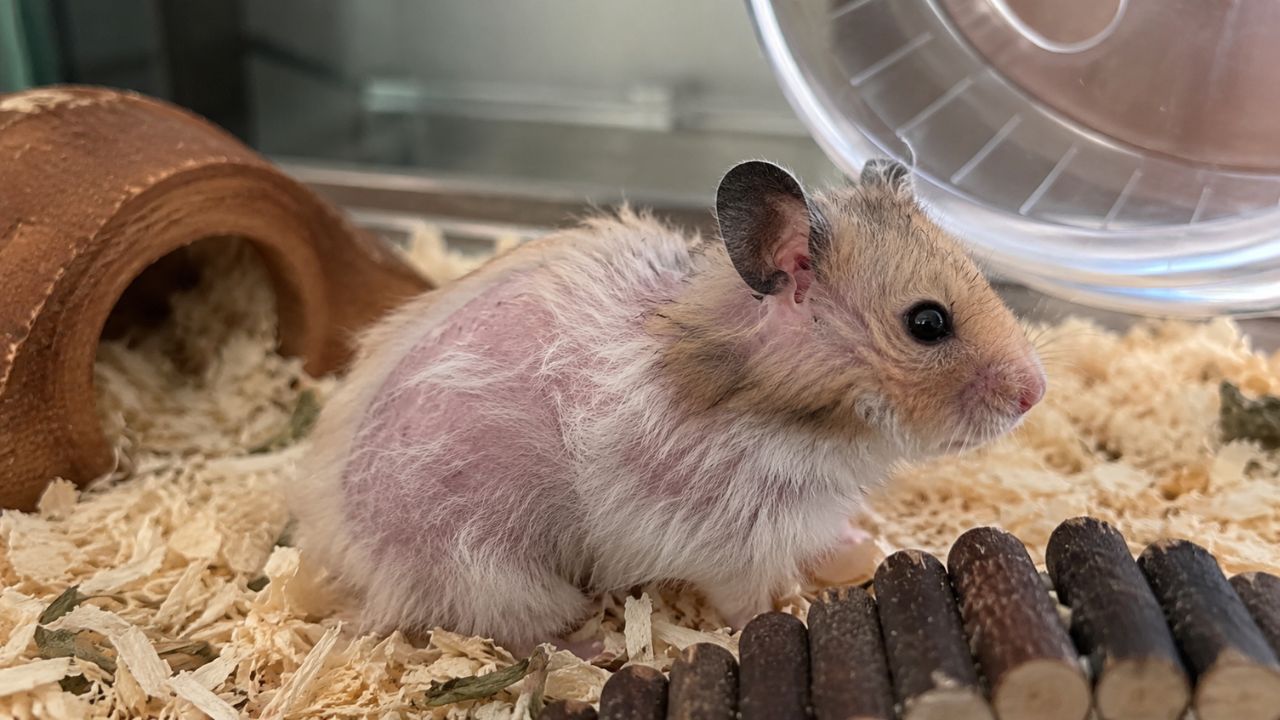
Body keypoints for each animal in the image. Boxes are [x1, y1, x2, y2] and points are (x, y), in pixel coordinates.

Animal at [288, 158, 1046, 655]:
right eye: (927, 323)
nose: (1035, 391)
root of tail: (340, 554)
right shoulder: (731, 537)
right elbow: (749, 600)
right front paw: (785, 616)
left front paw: (864, 548)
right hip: (488, 569)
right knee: (520, 632)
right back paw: (593, 653)